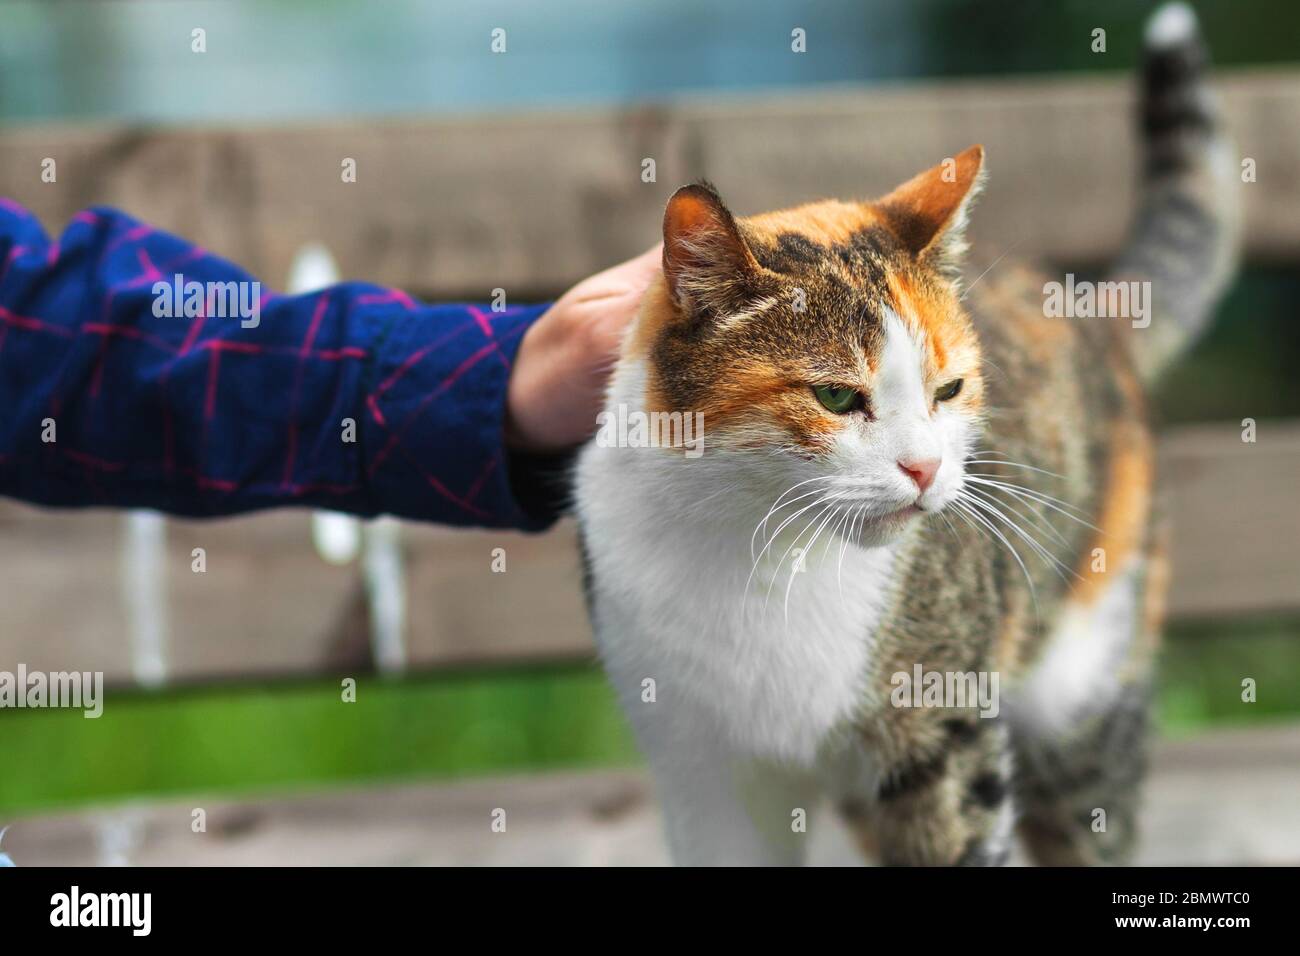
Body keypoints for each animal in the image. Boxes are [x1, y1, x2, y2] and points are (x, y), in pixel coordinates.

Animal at [574, 1, 1232, 868]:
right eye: (834, 395)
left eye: (948, 390)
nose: (924, 468)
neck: (754, 550)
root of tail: (1094, 318)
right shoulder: (699, 764)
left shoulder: (945, 737)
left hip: (1087, 676)